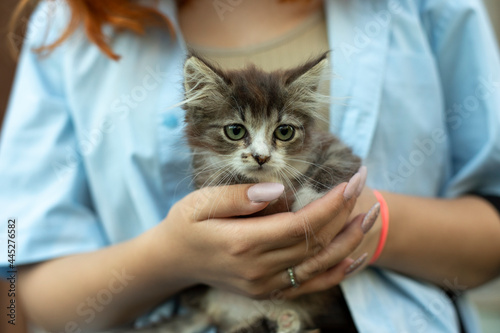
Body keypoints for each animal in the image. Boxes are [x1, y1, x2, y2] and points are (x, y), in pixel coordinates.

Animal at [139, 54, 362, 332]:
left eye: (284, 131)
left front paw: (310, 198)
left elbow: (338, 162)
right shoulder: (207, 182)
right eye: (235, 131)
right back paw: (283, 323)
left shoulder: (332, 147)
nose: (261, 157)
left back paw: (287, 321)